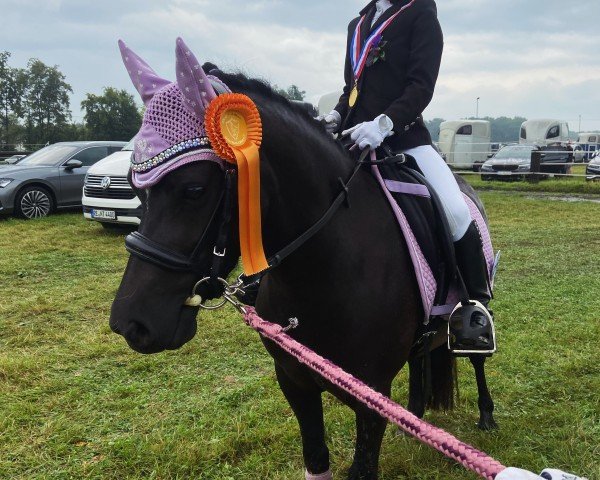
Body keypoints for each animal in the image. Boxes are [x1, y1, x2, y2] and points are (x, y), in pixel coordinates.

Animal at [110, 42, 494, 480]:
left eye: (193, 189)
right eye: (136, 186)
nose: (131, 324)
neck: (324, 271)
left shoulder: (372, 397)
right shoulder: (294, 383)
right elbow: (316, 459)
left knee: (477, 357)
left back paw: (486, 413)